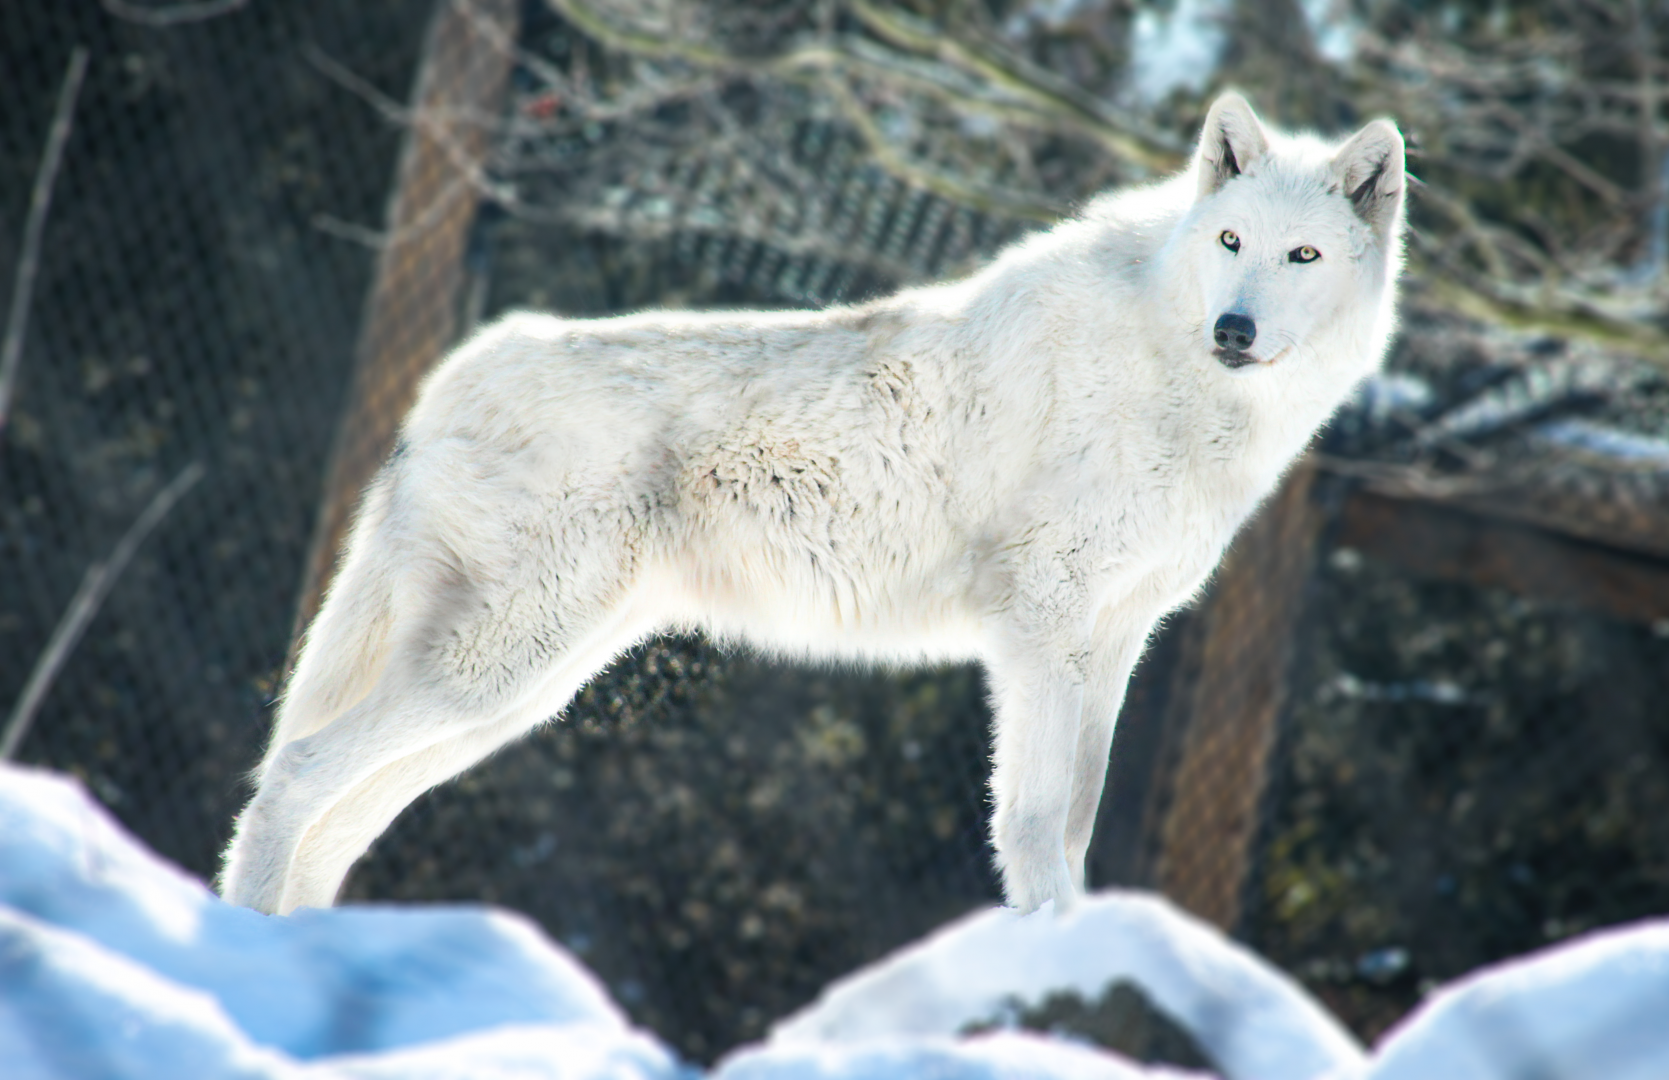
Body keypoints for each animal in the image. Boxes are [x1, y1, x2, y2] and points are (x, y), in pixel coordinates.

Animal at [221, 92, 1405, 917]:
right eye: (1230, 243)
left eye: (1301, 254)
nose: (1233, 330)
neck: (1176, 384)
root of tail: (450, 378)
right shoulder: (1042, 631)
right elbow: (1029, 824)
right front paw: (1052, 949)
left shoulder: (1114, 641)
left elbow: (1076, 821)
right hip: (495, 670)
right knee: (292, 771)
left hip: (516, 695)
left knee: (336, 819)